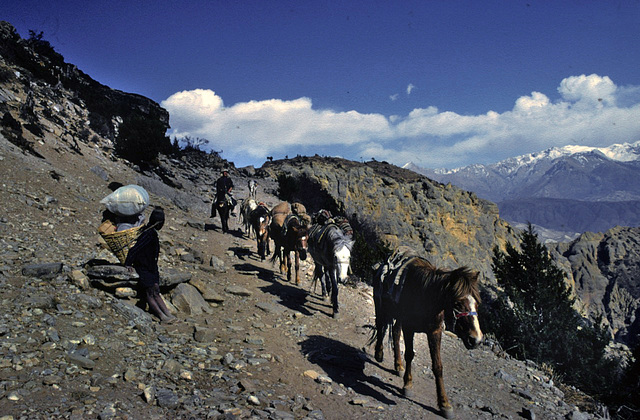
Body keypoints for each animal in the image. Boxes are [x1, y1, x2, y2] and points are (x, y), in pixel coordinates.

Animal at [372, 251, 482, 418]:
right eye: (457, 303)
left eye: (476, 304)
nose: (476, 339)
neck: (425, 297)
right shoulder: (409, 328)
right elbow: (409, 354)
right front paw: (408, 385)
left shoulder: (434, 332)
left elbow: (438, 366)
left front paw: (445, 404)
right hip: (380, 305)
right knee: (380, 326)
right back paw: (379, 354)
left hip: (398, 317)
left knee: (395, 334)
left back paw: (398, 366)